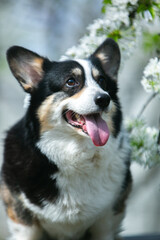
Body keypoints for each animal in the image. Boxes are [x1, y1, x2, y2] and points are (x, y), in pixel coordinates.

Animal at [0, 38, 132, 239]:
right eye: (71, 82)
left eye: (102, 81)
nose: (104, 99)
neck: (76, 154)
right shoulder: (23, 220)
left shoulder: (106, 221)